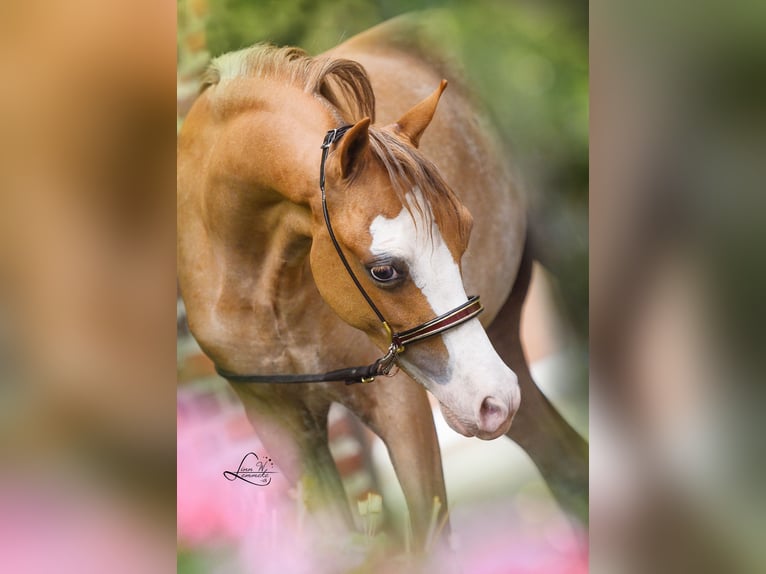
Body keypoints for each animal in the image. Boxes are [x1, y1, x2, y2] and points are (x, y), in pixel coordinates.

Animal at [178, 15, 588, 548]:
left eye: (465, 233)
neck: (260, 284)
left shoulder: (400, 405)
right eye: (384, 270)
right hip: (501, 342)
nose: (494, 398)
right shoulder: (280, 423)